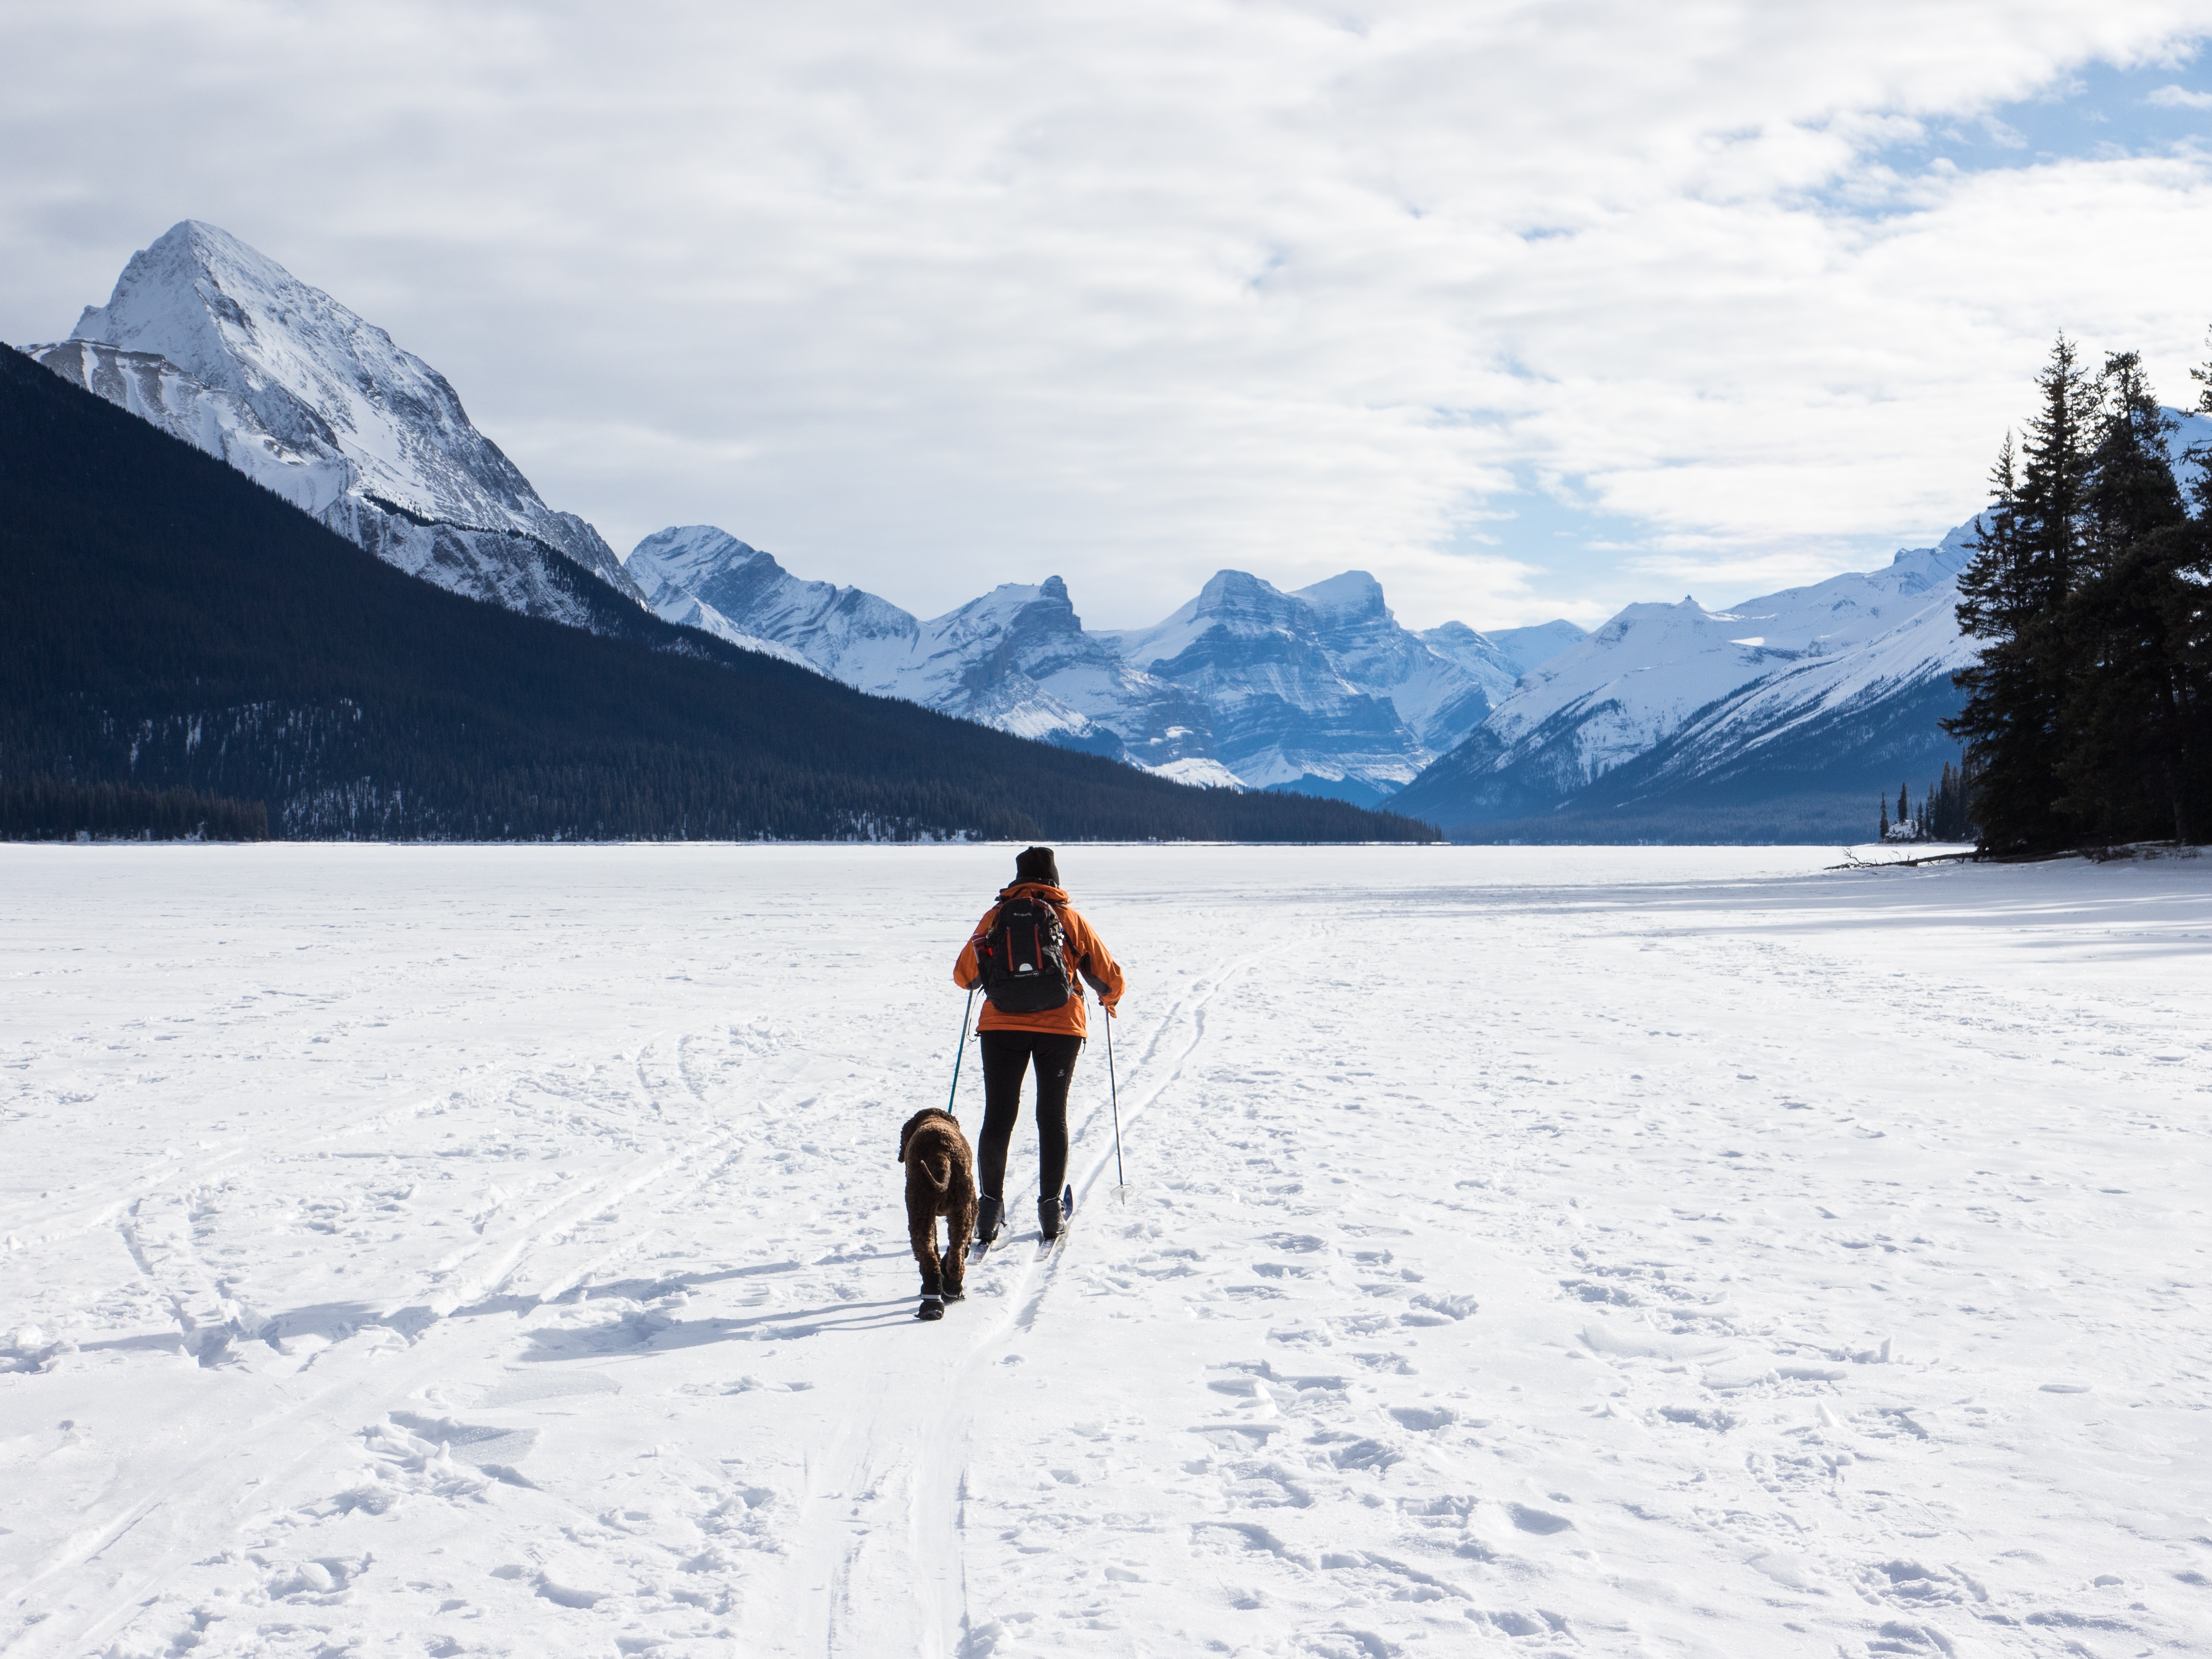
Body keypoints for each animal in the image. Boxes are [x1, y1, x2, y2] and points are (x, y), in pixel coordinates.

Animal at [898, 1106, 977, 1327]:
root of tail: (941, 1155)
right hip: (957, 1208)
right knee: (954, 1253)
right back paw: (949, 1291)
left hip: (922, 1209)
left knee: (935, 1254)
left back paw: (934, 1302)